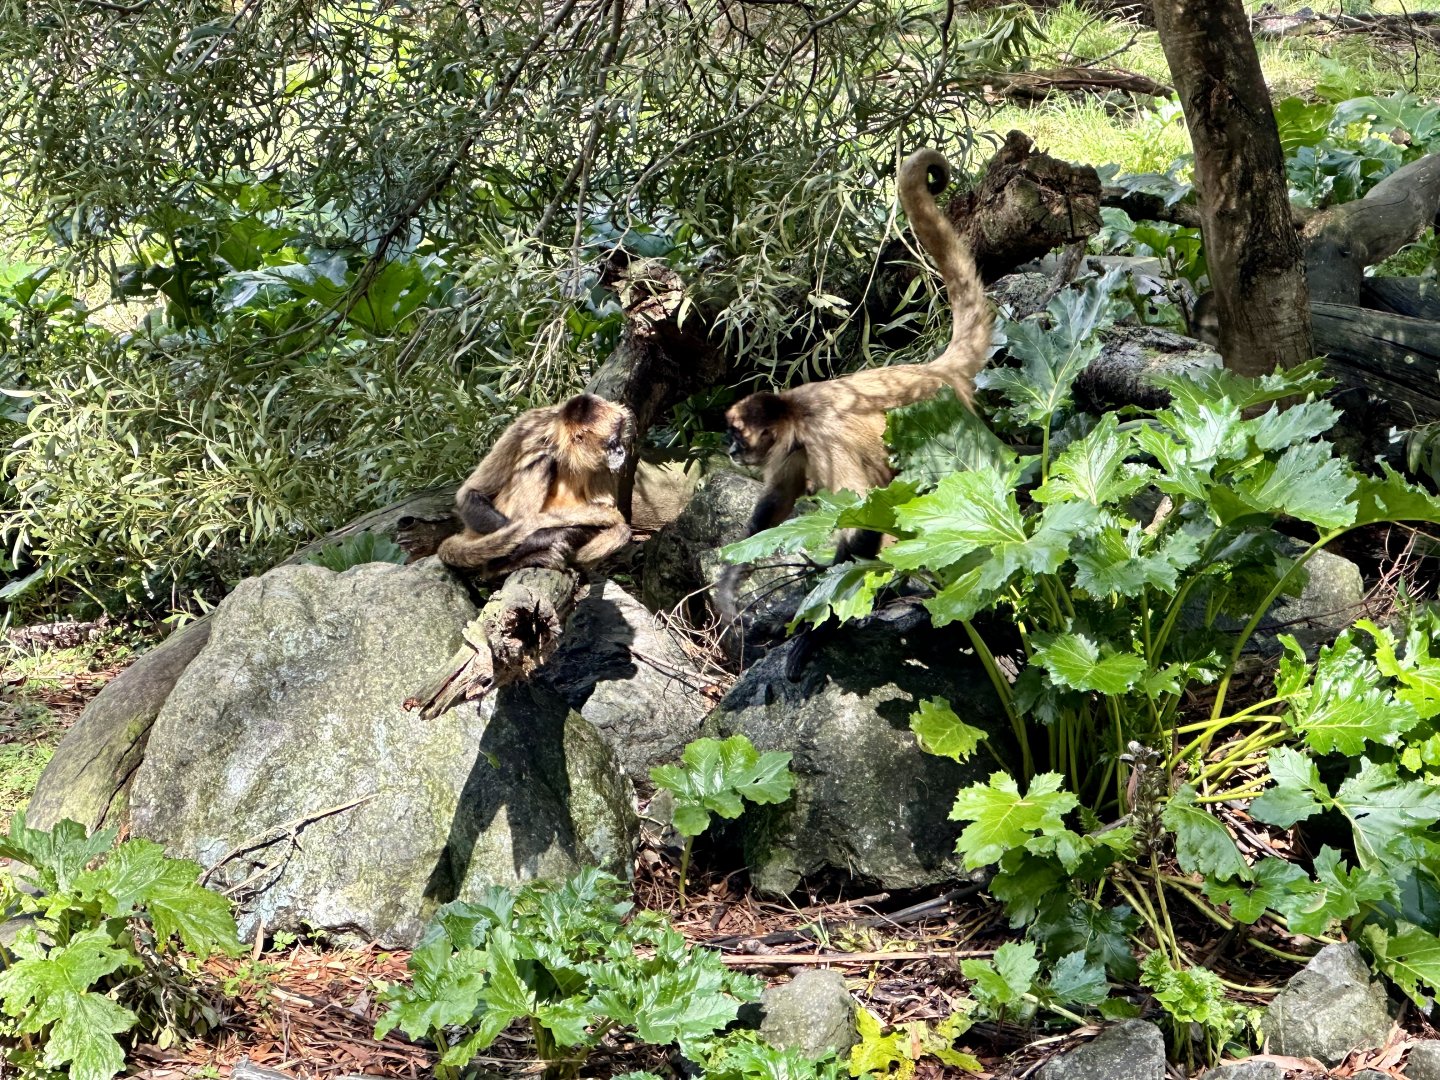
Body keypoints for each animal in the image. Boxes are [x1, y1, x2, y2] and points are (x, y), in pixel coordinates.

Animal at [437, 393, 634, 579]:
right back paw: (501, 566)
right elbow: (470, 493)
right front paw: (545, 536)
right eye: (612, 443)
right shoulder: (528, 426)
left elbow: (607, 511)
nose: (620, 451)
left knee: (621, 531)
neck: (567, 451)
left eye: (619, 439)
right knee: (540, 458)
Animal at [716, 147, 994, 669]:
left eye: (735, 434)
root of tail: (933, 371)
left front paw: (820, 626)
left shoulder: (823, 441)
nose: (728, 449)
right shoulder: (797, 450)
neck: (797, 413)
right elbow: (776, 504)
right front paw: (729, 583)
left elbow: (863, 517)